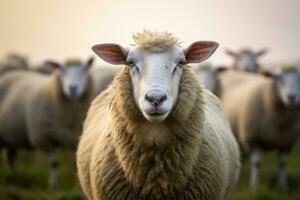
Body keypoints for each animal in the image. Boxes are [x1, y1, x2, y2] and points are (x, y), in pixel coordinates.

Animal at [0, 56, 94, 189]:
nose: (72, 88)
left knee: (9, 157)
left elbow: (75, 164)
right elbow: (54, 163)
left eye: (84, 69)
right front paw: (54, 186)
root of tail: (11, 73)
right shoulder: (45, 139)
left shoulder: (72, 140)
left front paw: (78, 186)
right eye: (61, 70)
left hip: (10, 136)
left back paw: (13, 176)